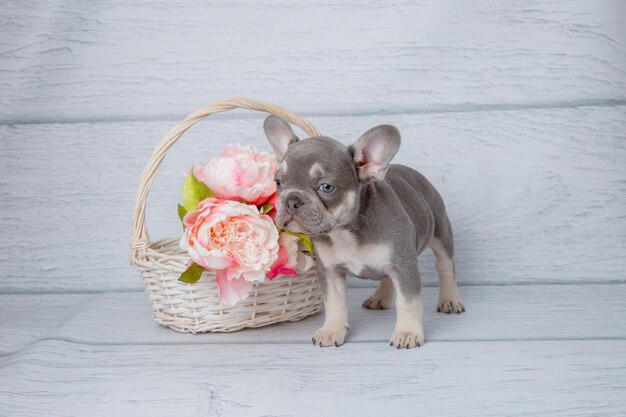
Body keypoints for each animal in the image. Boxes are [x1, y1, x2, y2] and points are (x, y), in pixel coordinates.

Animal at [260, 116, 460, 348]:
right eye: (278, 182)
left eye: (326, 187)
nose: (292, 200)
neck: (345, 232)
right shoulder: (330, 272)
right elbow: (334, 304)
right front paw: (331, 330)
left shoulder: (404, 266)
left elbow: (408, 303)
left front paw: (407, 332)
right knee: (387, 277)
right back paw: (380, 297)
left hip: (441, 232)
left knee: (446, 266)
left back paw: (450, 299)